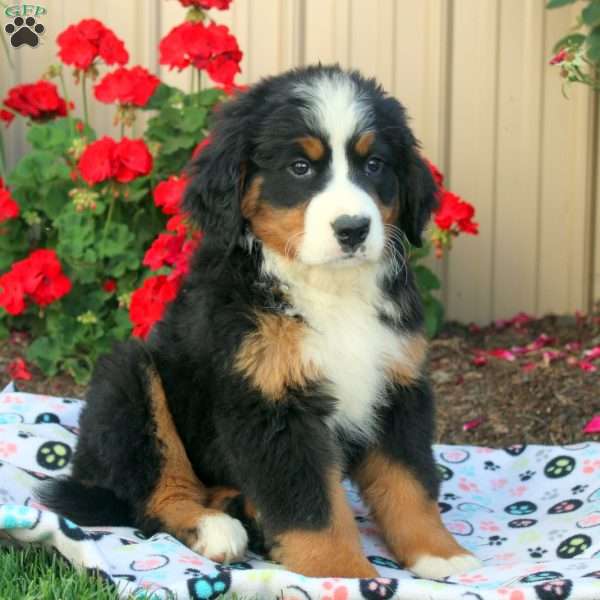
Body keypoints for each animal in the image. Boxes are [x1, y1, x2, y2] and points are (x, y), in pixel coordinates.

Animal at [39, 65, 482, 580]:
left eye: (374, 165)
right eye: (300, 168)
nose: (353, 229)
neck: (328, 288)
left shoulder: (396, 385)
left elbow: (409, 483)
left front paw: (440, 555)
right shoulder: (271, 403)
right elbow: (312, 507)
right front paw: (344, 576)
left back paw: (242, 508)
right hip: (130, 377)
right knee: (152, 490)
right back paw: (214, 528)